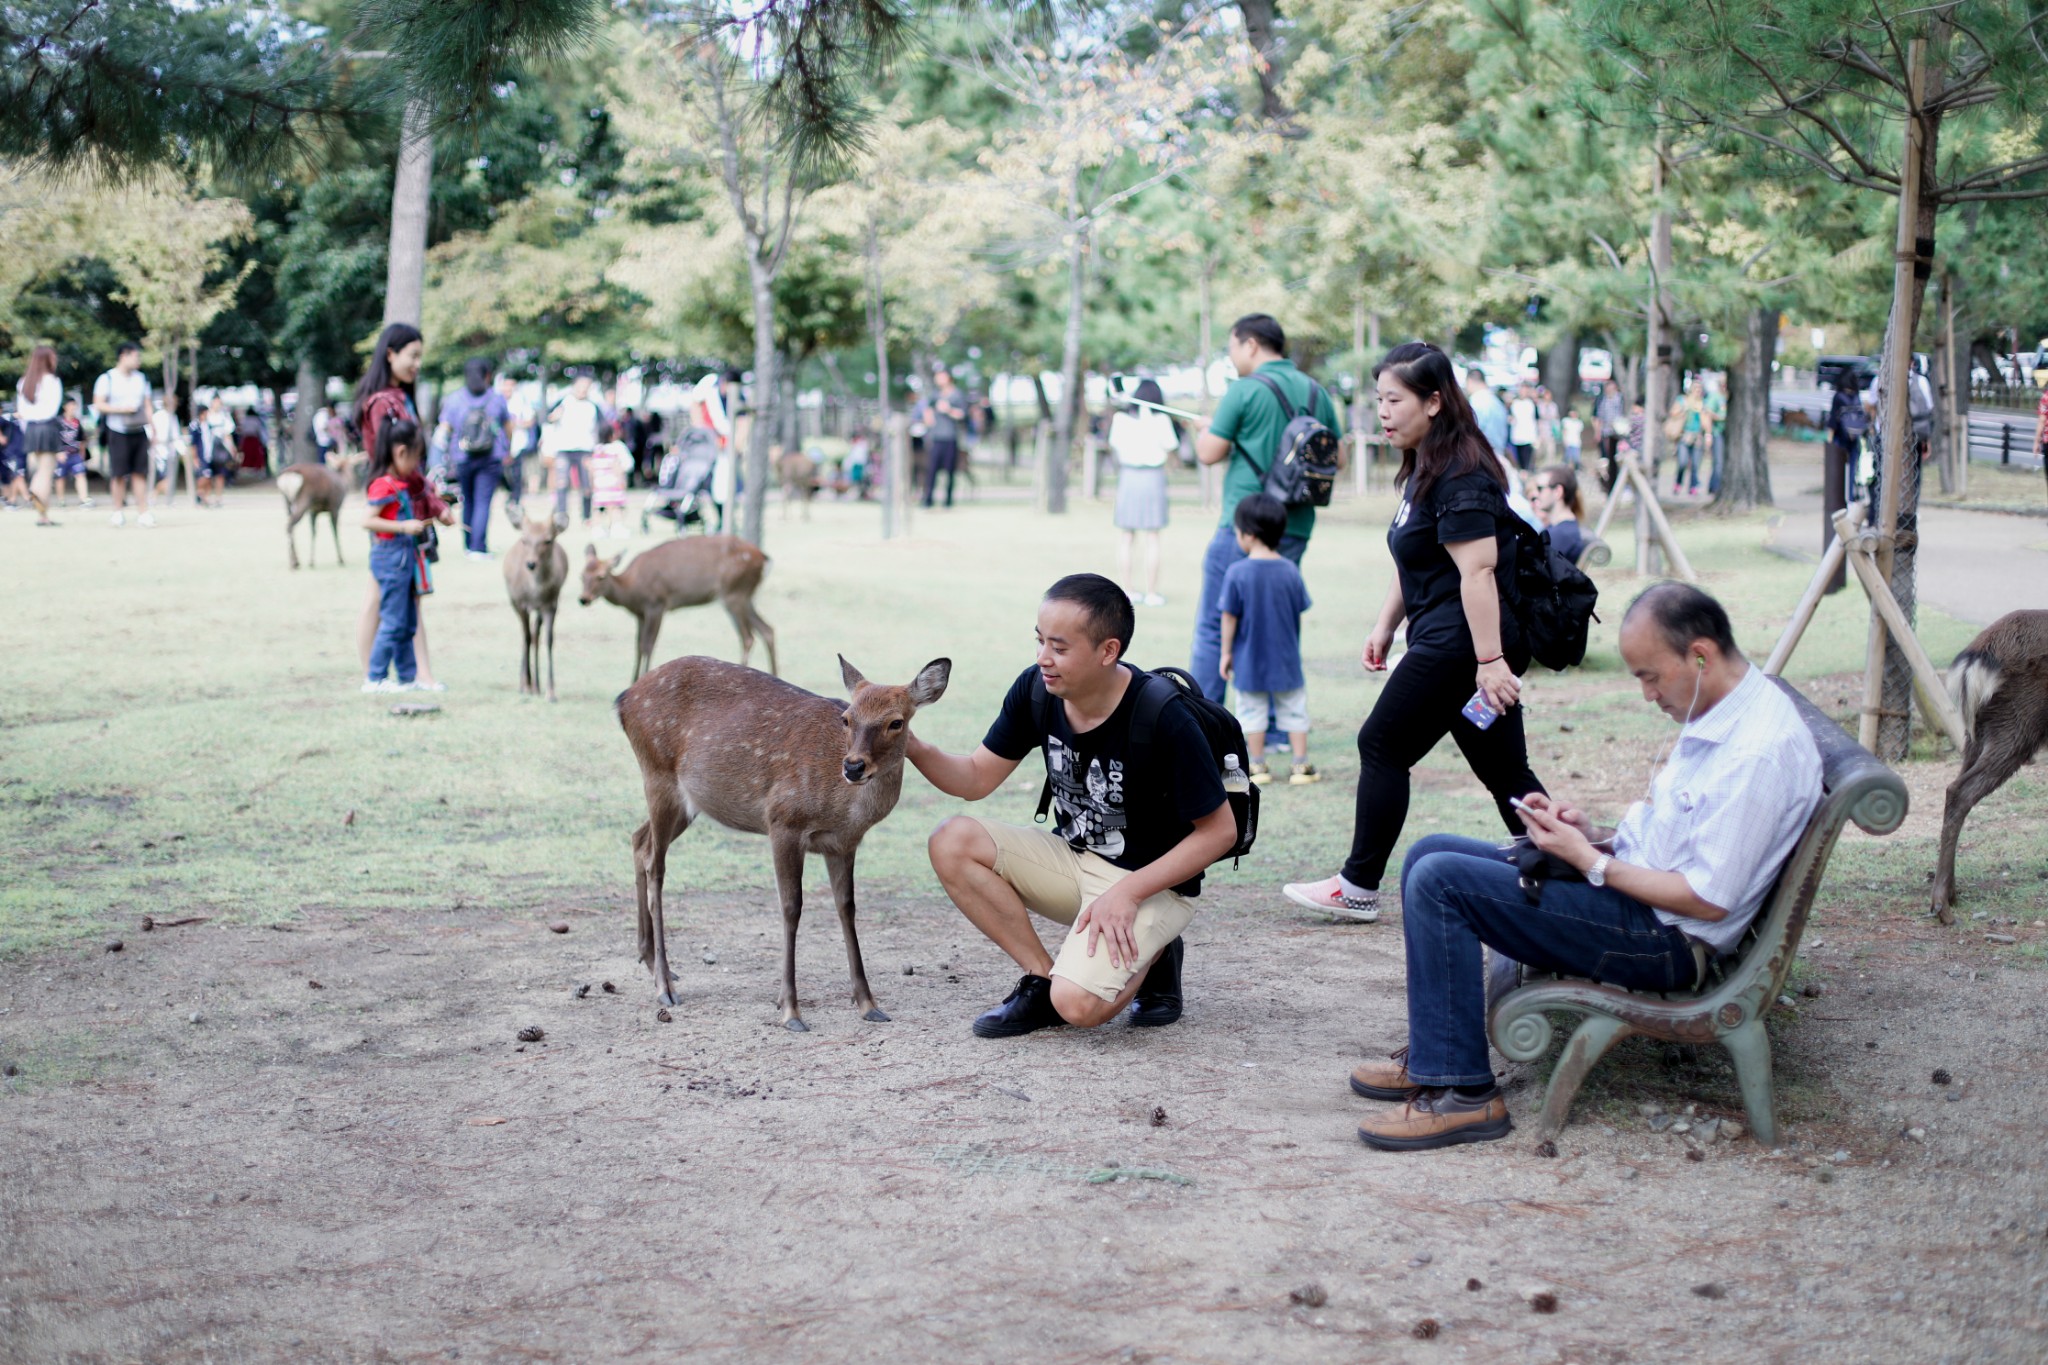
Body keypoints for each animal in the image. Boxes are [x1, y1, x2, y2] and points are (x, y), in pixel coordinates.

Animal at [507, 509, 573, 712]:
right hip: (514, 602)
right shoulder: (521, 603)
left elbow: (549, 640)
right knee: (526, 636)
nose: (530, 564)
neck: (536, 591)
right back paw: (525, 684)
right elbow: (527, 638)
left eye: (548, 540)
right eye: (525, 539)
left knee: (536, 635)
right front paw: (526, 686)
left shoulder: (551, 604)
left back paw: (537, 684)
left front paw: (550, 693)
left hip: (540, 611)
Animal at [581, 532, 778, 683]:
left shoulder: (657, 604)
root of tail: (763, 558)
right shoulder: (640, 614)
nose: (584, 599)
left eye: (601, 576)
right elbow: (638, 645)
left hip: (734, 592)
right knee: (767, 629)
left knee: (748, 636)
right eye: (581, 575)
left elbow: (648, 644)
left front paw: (643, 677)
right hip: (745, 595)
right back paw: (775, 675)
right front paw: (633, 680)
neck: (632, 590)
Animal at [614, 654, 950, 1031]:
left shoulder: (843, 844)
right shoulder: (782, 822)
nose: (853, 767)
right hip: (657, 776)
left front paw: (868, 1003)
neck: (844, 809)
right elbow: (791, 907)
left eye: (896, 722)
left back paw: (651, 961)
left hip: (688, 802)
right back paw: (664, 985)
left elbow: (846, 908)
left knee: (638, 840)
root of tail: (624, 699)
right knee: (655, 865)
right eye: (847, 718)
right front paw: (790, 1009)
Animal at [1933, 609, 2048, 925]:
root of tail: (1973, 661)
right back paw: (1941, 905)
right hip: (2016, 727)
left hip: (1975, 734)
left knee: (1953, 788)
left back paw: (1951, 893)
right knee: (1959, 791)